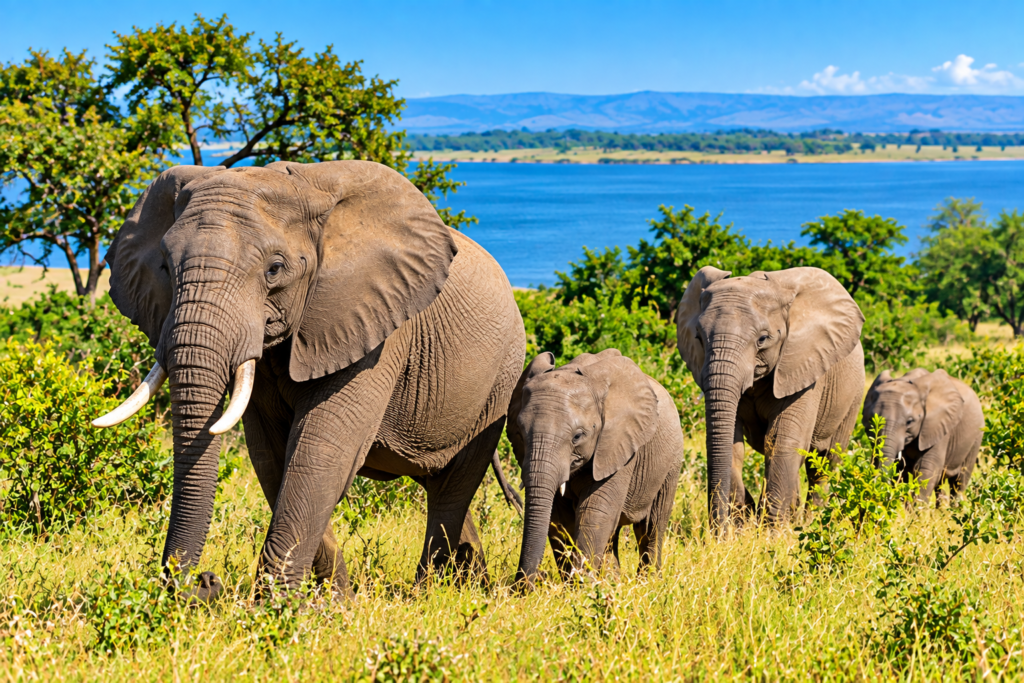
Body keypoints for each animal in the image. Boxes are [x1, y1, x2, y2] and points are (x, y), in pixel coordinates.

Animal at [93, 160, 526, 599]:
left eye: (274, 269)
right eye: (165, 267)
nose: (203, 582)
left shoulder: (376, 329)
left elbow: (321, 454)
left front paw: (277, 606)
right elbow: (271, 457)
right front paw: (335, 600)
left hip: (499, 378)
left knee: (452, 488)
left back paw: (428, 592)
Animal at [508, 349, 684, 585]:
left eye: (577, 436)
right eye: (520, 433)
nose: (525, 586)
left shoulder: (618, 446)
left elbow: (595, 512)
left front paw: (580, 587)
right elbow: (559, 518)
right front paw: (573, 585)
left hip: (671, 462)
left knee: (651, 526)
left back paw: (648, 582)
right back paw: (612, 582)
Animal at [676, 266, 865, 530]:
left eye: (763, 339)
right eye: (699, 338)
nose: (717, 533)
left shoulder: (802, 367)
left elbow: (780, 441)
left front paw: (771, 533)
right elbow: (733, 444)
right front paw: (744, 525)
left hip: (853, 398)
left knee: (823, 463)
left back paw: (812, 523)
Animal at [862, 368, 983, 505]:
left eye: (910, 421)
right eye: (871, 420)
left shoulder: (937, 426)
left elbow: (926, 468)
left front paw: (916, 510)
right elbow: (901, 469)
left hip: (977, 437)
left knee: (959, 482)